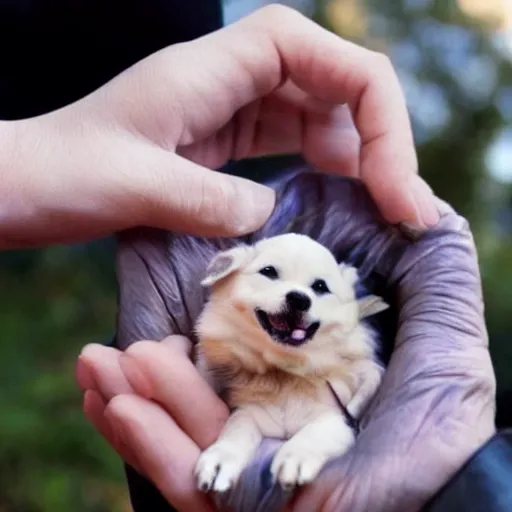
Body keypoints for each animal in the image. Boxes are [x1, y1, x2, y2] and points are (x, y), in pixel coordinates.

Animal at [194, 234, 386, 494]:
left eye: (320, 287)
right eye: (269, 272)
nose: (299, 299)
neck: (286, 370)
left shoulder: (340, 420)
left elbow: (318, 430)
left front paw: (295, 456)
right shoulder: (251, 413)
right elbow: (237, 428)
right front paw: (221, 458)